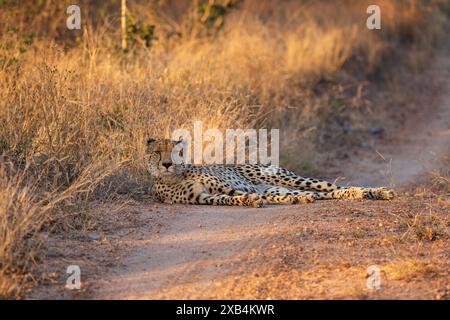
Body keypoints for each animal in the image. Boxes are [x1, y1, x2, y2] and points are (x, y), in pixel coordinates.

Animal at [146, 138, 396, 208]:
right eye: (157, 153)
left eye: (174, 153)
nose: (166, 164)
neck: (173, 177)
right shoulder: (203, 197)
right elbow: (230, 199)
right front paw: (250, 201)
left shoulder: (225, 186)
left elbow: (237, 193)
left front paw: (250, 199)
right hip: (281, 186)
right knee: (321, 194)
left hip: (283, 177)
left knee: (334, 187)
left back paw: (378, 192)